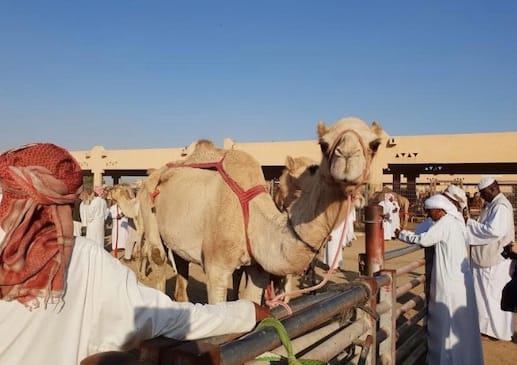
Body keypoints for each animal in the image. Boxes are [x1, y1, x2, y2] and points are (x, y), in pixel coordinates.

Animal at [137, 116, 382, 302]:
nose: (347, 156)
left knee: (180, 269)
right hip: (147, 206)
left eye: (375, 145)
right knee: (158, 259)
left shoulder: (259, 271)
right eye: (323, 144)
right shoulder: (217, 268)